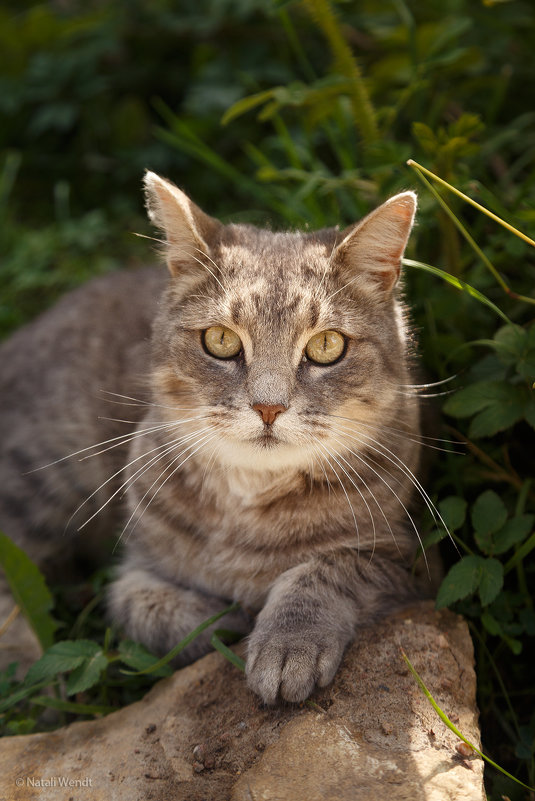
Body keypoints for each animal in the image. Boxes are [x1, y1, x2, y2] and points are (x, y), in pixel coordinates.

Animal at [0, 173, 428, 700]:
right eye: (220, 341)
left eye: (327, 346)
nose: (268, 407)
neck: (246, 503)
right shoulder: (137, 565)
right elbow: (138, 605)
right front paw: (225, 621)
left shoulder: (410, 562)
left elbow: (331, 568)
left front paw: (287, 642)